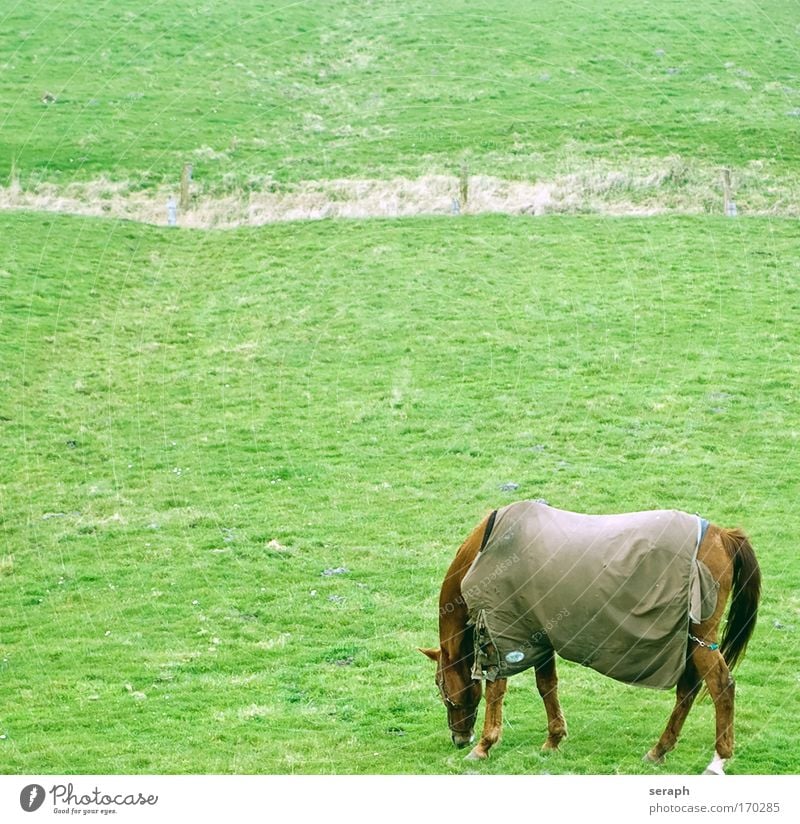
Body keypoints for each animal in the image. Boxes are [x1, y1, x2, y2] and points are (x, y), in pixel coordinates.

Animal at [422, 498, 760, 776]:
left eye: (441, 687)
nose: (459, 738)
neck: (489, 547)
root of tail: (721, 534)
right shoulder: (538, 634)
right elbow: (547, 686)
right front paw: (553, 739)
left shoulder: (500, 631)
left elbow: (496, 689)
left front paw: (484, 745)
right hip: (690, 642)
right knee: (688, 691)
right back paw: (659, 750)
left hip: (700, 640)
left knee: (721, 687)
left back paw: (718, 760)